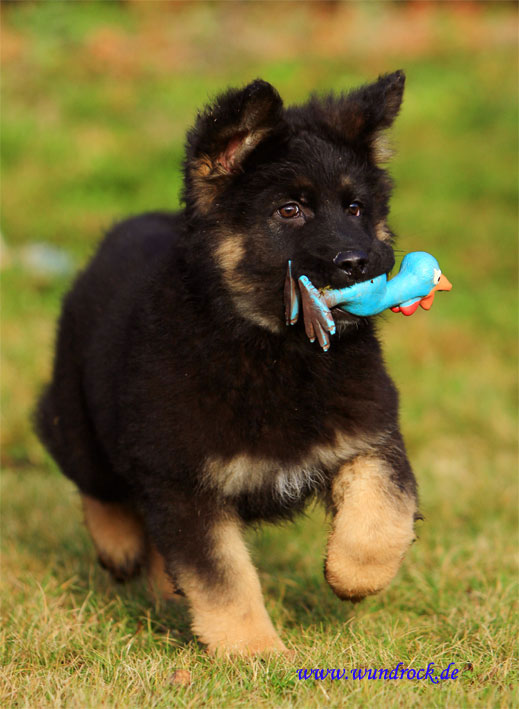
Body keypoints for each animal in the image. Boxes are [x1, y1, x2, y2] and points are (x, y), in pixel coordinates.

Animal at [36, 71, 419, 656]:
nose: (359, 263)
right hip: (77, 414)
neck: (273, 349)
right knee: (95, 480)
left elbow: (383, 514)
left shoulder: (369, 435)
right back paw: (119, 546)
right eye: (289, 210)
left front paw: (351, 577)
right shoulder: (182, 480)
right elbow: (224, 578)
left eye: (355, 208)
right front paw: (255, 654)